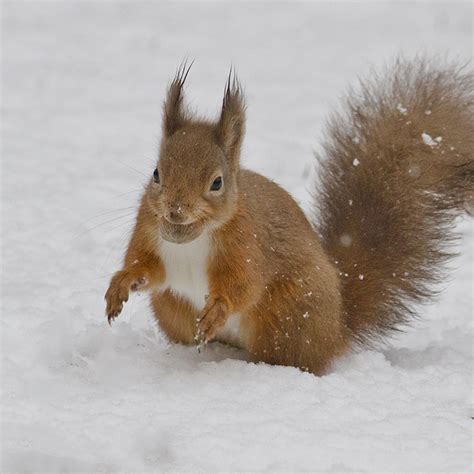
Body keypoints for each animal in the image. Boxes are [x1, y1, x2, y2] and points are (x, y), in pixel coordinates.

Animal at [105, 59, 472, 376]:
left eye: (217, 183)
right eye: (156, 174)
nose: (175, 210)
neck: (193, 239)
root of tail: (337, 328)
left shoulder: (247, 246)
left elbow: (243, 286)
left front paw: (217, 311)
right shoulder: (150, 234)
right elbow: (147, 268)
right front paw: (119, 285)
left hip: (289, 314)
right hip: (172, 307)